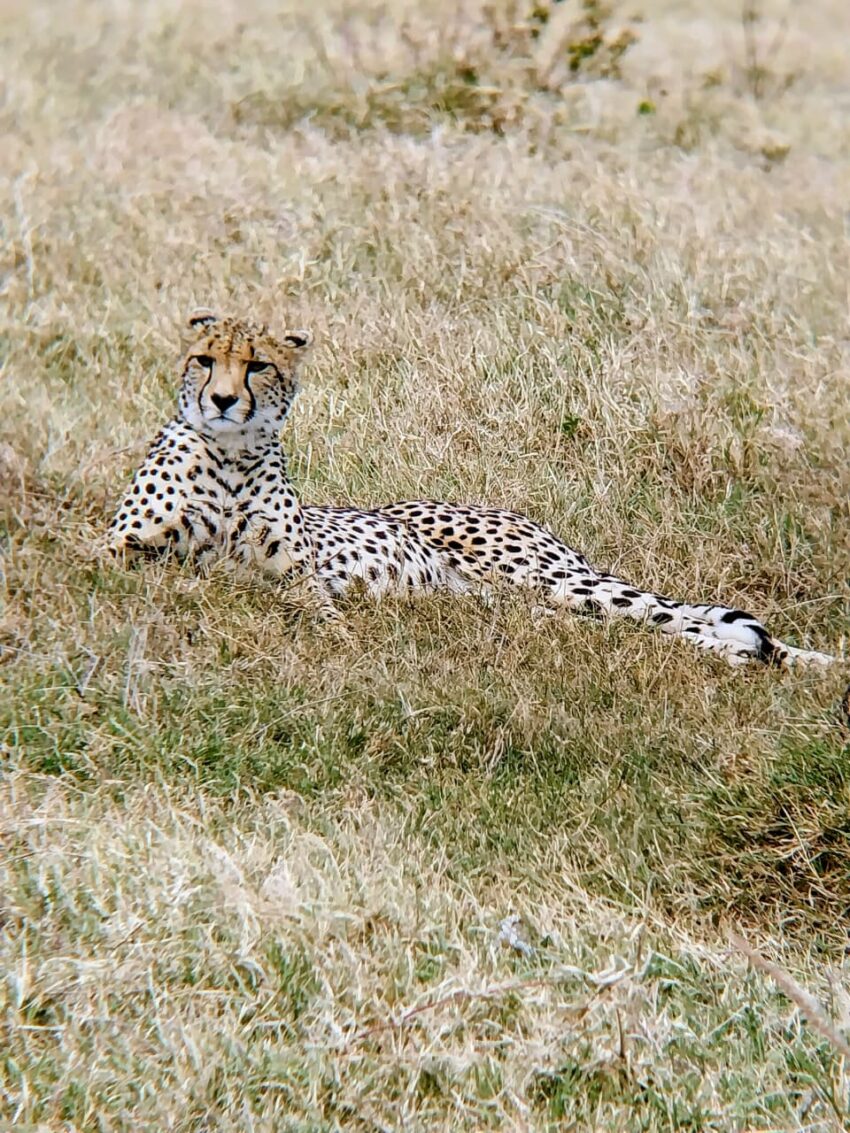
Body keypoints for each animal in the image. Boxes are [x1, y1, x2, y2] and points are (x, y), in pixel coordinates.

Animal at [109, 312, 834, 669]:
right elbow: (181, 570)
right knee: (637, 633)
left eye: (258, 365)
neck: (231, 455)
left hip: (551, 583)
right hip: (521, 610)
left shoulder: (299, 575)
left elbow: (317, 607)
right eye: (205, 359)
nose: (224, 400)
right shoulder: (123, 552)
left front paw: (337, 639)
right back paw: (749, 654)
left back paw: (797, 658)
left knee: (665, 617)